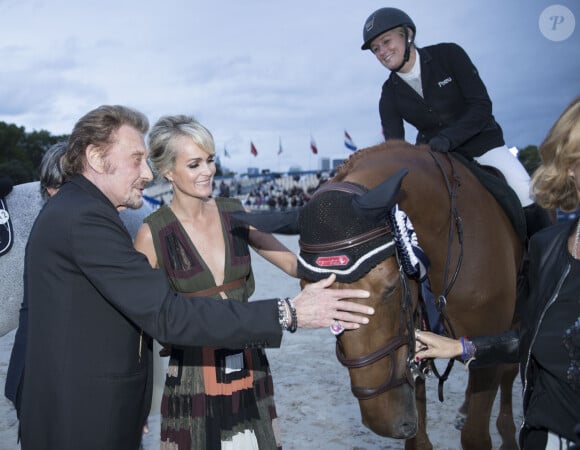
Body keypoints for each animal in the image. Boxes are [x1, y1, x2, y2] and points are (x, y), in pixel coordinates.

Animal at [233, 140, 524, 446]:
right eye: (307, 288)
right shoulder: (414, 347)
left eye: (392, 286)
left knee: (509, 371)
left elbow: (476, 433)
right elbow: (419, 440)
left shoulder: (487, 353)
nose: (383, 424)